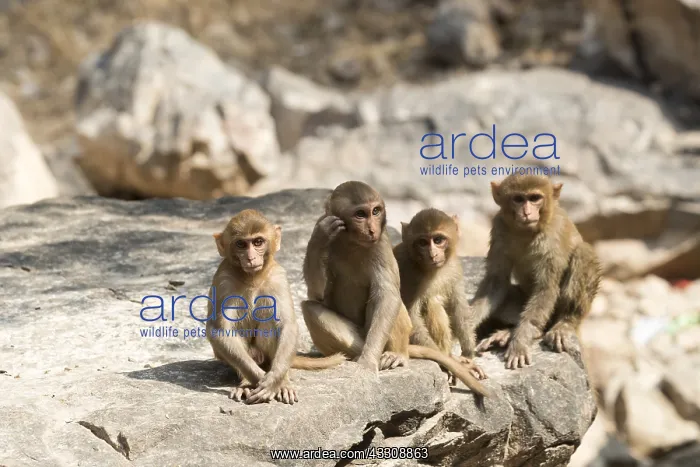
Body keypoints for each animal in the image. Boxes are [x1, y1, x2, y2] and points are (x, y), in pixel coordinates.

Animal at [206, 209, 346, 405]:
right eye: (241, 244)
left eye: (258, 242)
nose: (250, 257)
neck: (253, 278)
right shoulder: (223, 279)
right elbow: (220, 330)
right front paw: (260, 381)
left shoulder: (278, 276)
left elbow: (287, 325)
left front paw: (274, 383)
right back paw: (246, 384)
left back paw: (283, 381)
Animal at [393, 208, 486, 383]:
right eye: (422, 243)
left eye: (438, 240)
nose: (432, 254)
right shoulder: (406, 272)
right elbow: (411, 318)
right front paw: (454, 363)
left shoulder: (454, 267)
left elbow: (458, 308)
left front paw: (468, 354)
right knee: (431, 303)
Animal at [466, 174, 601, 370]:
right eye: (518, 199)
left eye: (535, 198)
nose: (527, 212)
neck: (527, 232)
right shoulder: (499, 227)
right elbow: (496, 282)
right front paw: (467, 322)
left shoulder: (553, 235)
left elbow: (546, 287)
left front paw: (520, 342)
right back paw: (508, 332)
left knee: (583, 252)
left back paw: (563, 323)